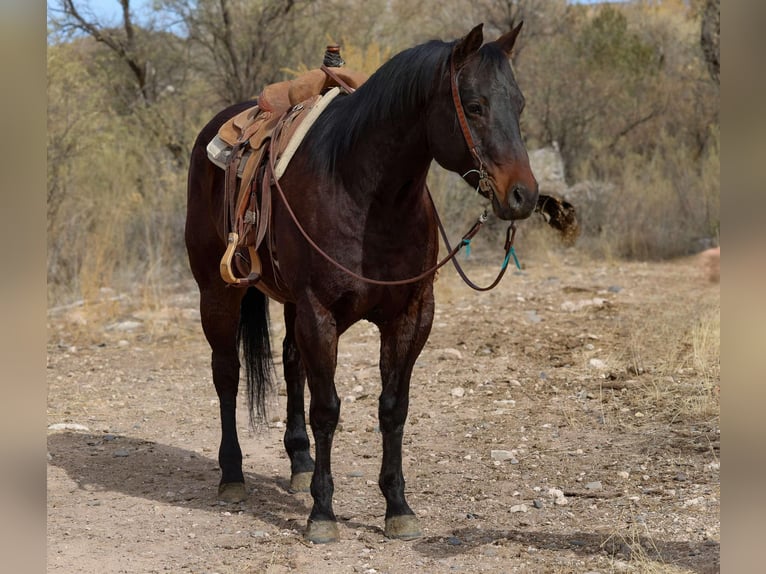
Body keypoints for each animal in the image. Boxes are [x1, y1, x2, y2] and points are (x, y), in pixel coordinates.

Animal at [185, 22, 538, 543]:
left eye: (519, 103)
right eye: (474, 105)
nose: (523, 195)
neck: (366, 192)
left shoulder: (411, 316)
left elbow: (392, 407)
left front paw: (398, 507)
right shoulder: (320, 314)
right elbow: (328, 409)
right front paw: (322, 514)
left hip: (289, 303)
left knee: (290, 363)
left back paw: (300, 463)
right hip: (218, 291)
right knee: (227, 373)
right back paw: (232, 475)